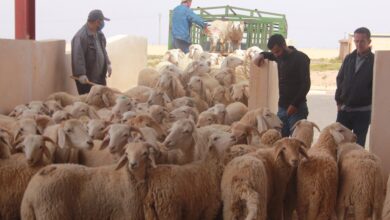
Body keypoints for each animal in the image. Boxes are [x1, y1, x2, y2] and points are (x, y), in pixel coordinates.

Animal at [20, 144, 150, 220]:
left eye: (145, 153)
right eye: (126, 153)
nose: (133, 165)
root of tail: (29, 195)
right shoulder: (124, 215)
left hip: (28, 215)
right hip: (52, 213)